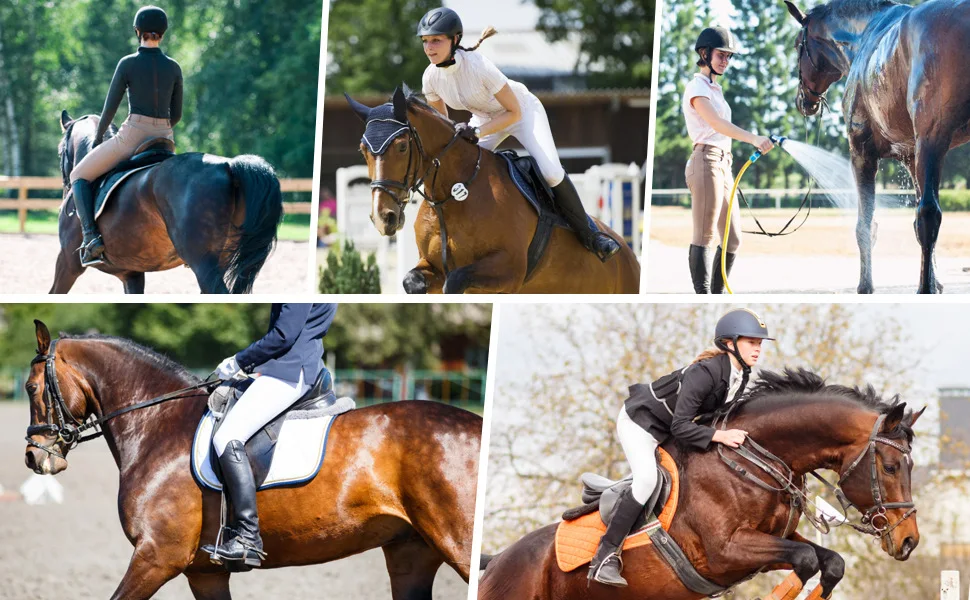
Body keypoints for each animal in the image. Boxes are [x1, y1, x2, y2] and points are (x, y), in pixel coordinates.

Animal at [22, 321, 479, 600]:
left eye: (30, 387)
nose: (33, 457)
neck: (157, 424)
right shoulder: (204, 573)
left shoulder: (156, 556)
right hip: (410, 553)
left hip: (456, 541)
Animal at [54, 111, 283, 294]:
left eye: (59, 151)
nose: (65, 190)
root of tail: (228, 165)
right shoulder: (131, 273)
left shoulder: (67, 263)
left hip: (203, 263)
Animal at [346, 88, 641, 294]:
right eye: (362, 151)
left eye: (402, 146)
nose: (383, 217)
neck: (452, 197)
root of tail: (629, 255)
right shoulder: (431, 265)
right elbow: (414, 282)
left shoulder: (509, 270)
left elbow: (455, 283)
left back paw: (602, 243)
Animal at [478, 368, 925, 600]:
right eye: (889, 467)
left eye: (910, 466)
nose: (909, 541)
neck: (755, 458)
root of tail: (497, 560)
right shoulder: (725, 551)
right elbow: (806, 560)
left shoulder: (771, 542)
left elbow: (828, 561)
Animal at [785, 0, 970, 294]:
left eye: (796, 46)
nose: (803, 100)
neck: (864, 38)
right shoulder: (912, 157)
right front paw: (936, 282)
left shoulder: (862, 153)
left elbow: (867, 224)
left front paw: (866, 285)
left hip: (932, 139)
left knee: (929, 214)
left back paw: (923, 290)